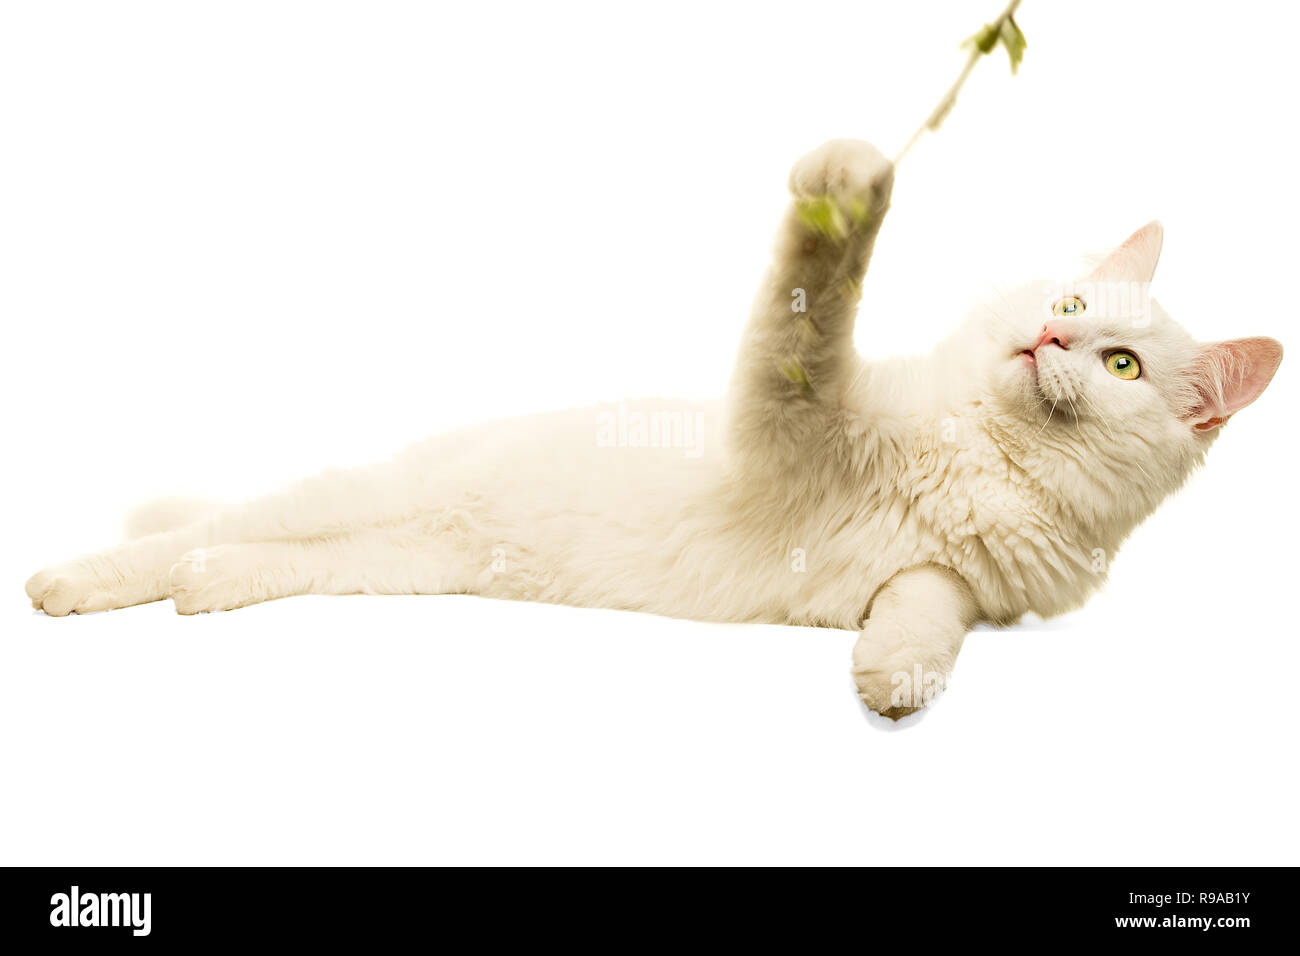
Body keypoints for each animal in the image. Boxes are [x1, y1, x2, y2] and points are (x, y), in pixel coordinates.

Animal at [25, 138, 1284, 712]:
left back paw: (202, 588)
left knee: (237, 556)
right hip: (362, 500)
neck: (980, 452)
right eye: (1069, 303)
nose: (1049, 343)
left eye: (1119, 364)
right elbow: (810, 302)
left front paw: (891, 681)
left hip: (393, 558)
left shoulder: (957, 581)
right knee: (177, 538)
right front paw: (852, 183)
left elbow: (923, 619)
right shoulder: (791, 420)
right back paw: (64, 585)